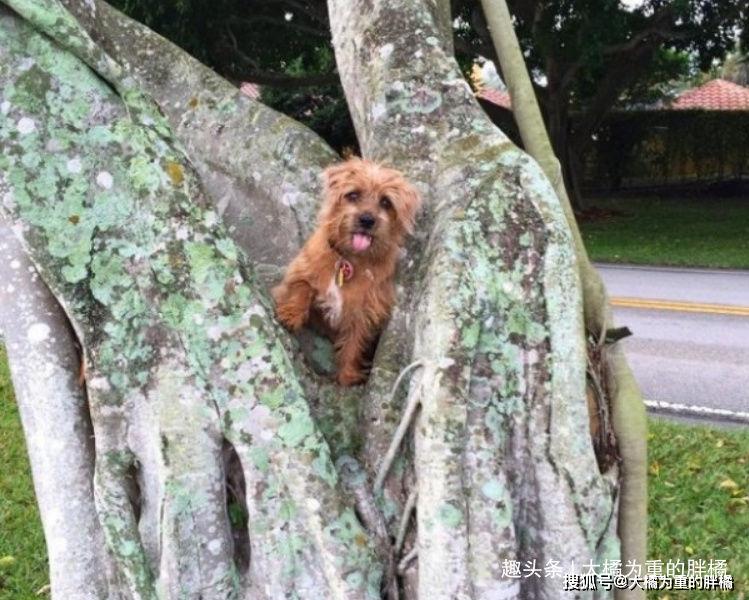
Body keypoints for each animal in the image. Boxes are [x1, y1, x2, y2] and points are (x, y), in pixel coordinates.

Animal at [272, 157, 420, 386]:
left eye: (386, 202)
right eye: (353, 195)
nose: (367, 220)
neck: (350, 259)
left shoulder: (364, 312)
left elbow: (354, 343)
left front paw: (347, 376)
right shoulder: (302, 268)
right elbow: (302, 286)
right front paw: (291, 314)